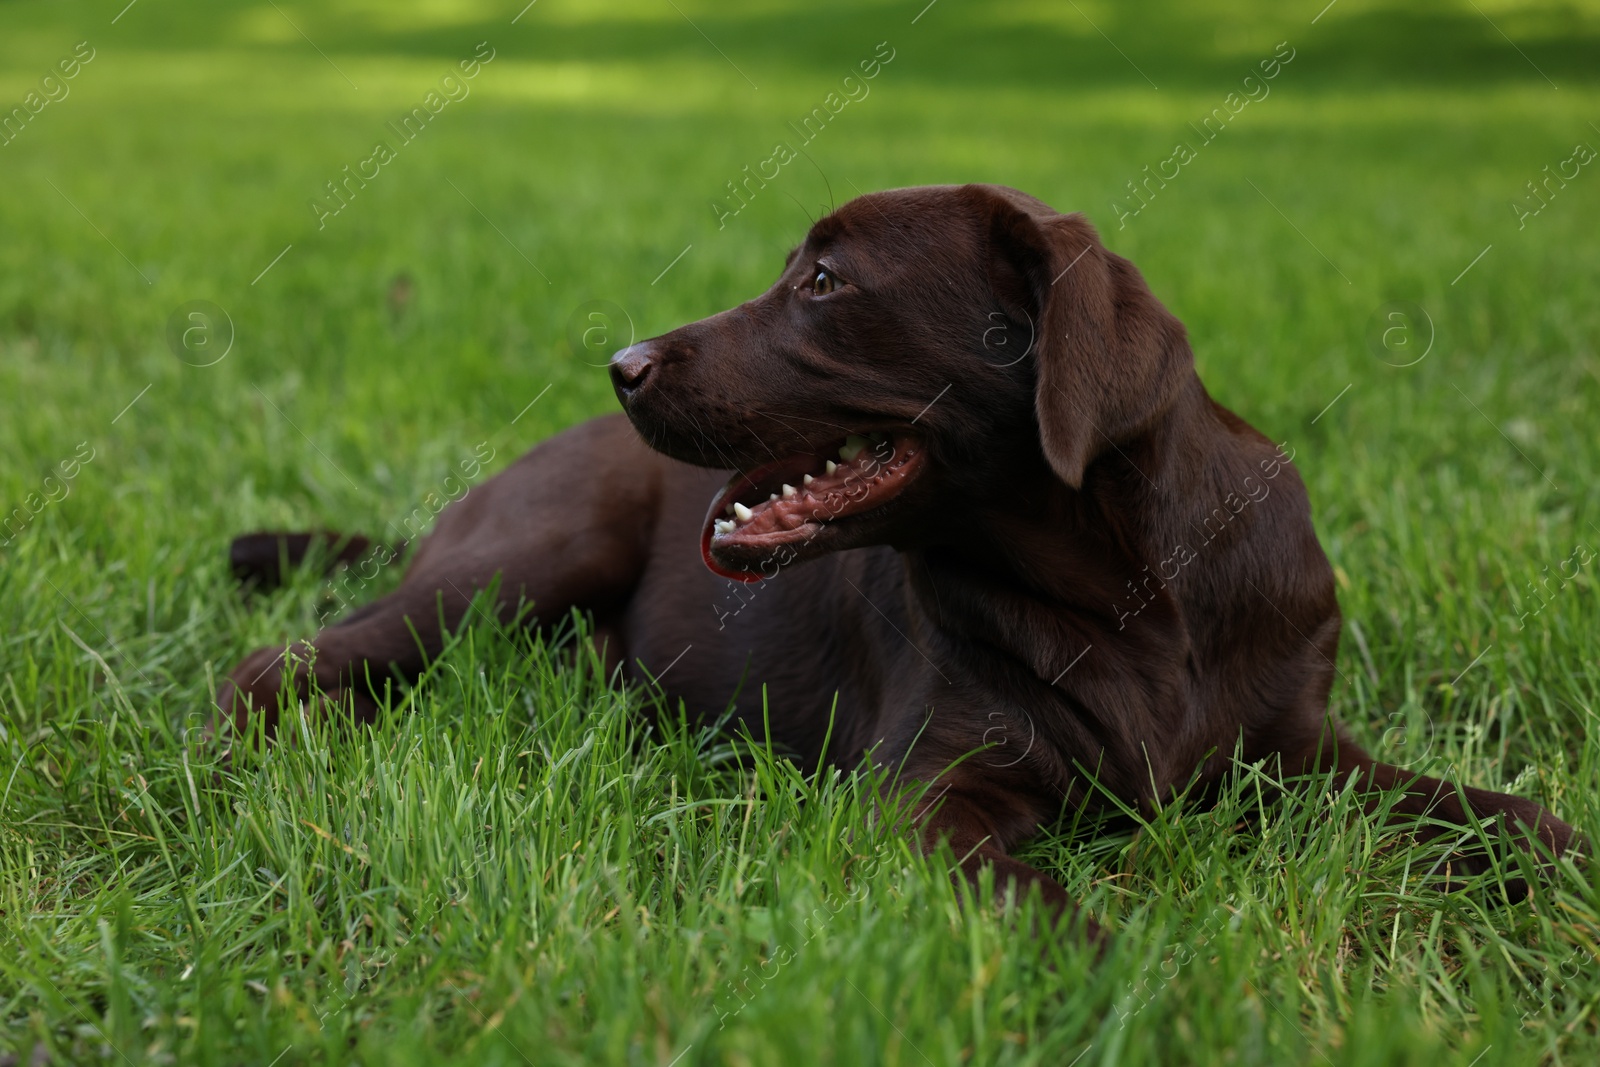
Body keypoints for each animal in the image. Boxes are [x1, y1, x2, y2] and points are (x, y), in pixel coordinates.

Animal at [219, 185, 1580, 940]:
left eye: (823, 281)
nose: (621, 364)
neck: (1129, 589)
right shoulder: (930, 790)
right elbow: (1031, 894)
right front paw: (1113, 968)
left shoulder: (1294, 750)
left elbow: (1494, 810)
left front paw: (1560, 860)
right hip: (524, 557)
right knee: (281, 659)